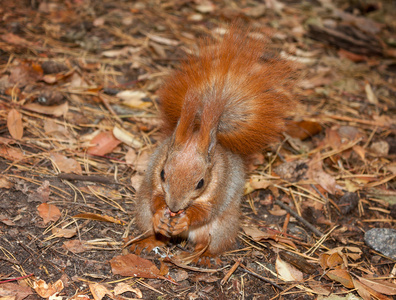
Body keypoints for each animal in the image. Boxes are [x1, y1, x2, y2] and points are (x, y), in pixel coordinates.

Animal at [133, 24, 296, 262]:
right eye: (163, 173)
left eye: (200, 183)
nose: (174, 207)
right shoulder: (153, 175)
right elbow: (155, 197)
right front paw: (161, 216)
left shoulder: (219, 188)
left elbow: (205, 211)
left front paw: (184, 218)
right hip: (142, 211)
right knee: (152, 225)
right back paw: (151, 240)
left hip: (222, 227)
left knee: (210, 242)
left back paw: (203, 256)